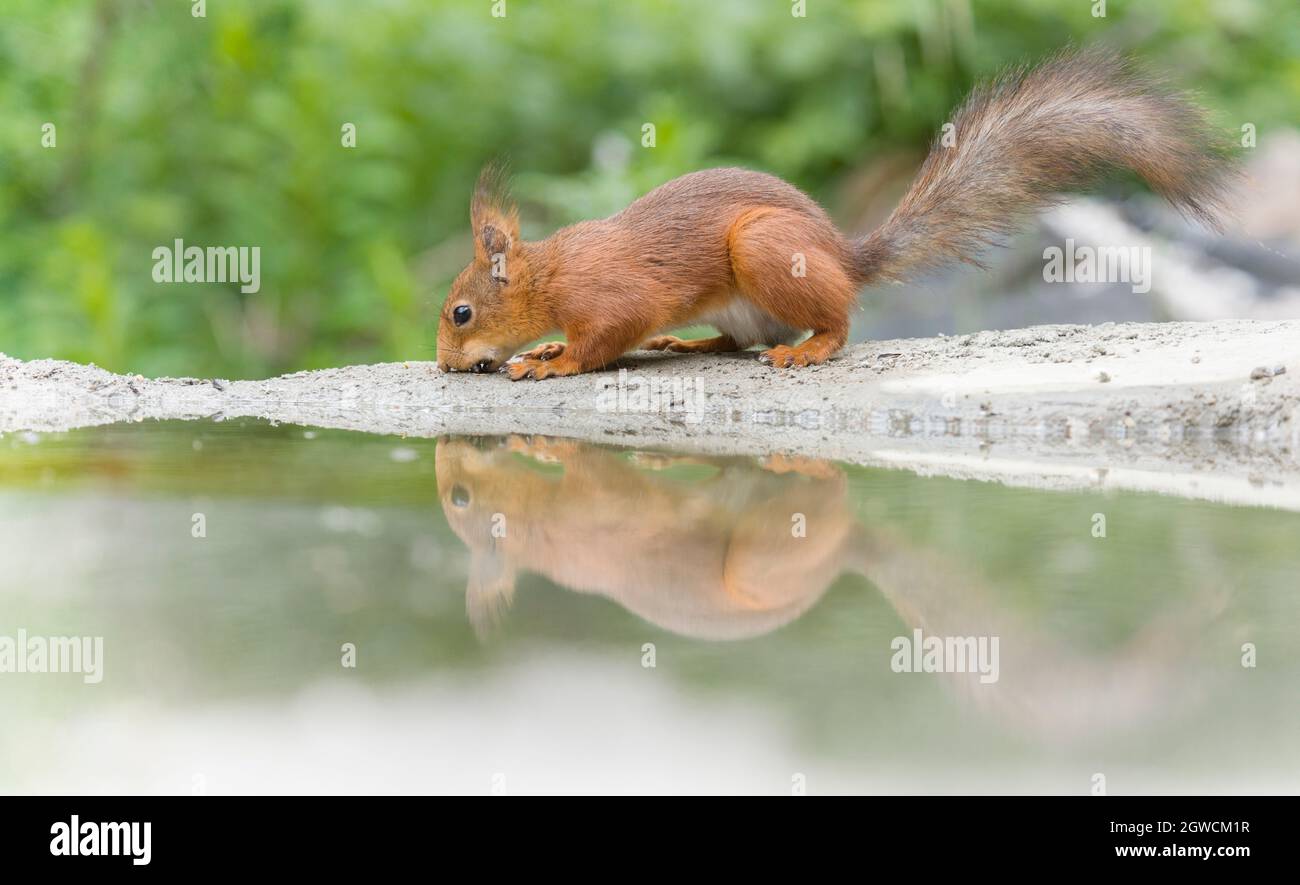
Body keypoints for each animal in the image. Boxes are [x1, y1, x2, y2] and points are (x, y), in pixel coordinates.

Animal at [436, 48, 1235, 380]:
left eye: (461, 313)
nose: (443, 364)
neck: (550, 275)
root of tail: (845, 256)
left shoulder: (609, 296)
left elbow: (606, 336)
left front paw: (555, 361)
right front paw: (543, 349)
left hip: (764, 251)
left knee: (834, 323)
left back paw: (810, 350)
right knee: (743, 339)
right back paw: (689, 342)